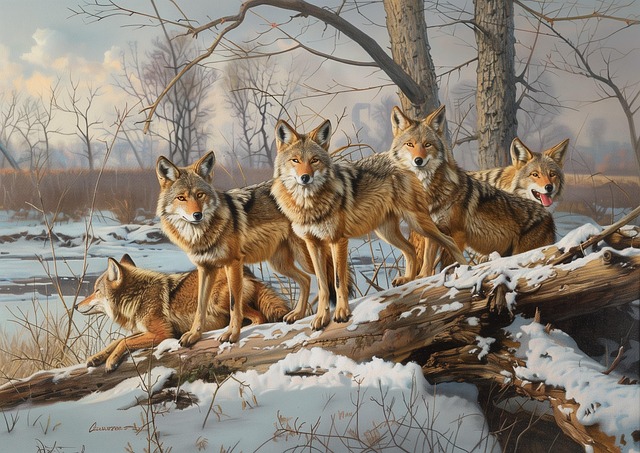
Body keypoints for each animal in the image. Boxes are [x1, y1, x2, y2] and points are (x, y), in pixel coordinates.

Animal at [76, 254, 289, 372]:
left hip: (219, 301)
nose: (76, 306)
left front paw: (111, 362)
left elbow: (124, 342)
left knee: (258, 317)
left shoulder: (161, 334)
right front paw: (97, 358)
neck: (138, 296)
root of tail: (248, 273)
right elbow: (117, 341)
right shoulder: (144, 331)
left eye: (96, 291)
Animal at [156, 152, 327, 345]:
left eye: (200, 195)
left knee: (326, 277)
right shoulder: (205, 268)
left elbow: (234, 305)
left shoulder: (233, 263)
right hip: (280, 264)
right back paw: (297, 314)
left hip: (305, 258)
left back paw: (325, 317)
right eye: (181, 198)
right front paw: (193, 335)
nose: (197, 215)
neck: (202, 235)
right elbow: (201, 307)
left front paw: (232, 334)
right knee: (306, 279)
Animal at [271, 119, 467, 330]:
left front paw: (341, 313)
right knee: (411, 249)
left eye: (314, 160)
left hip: (417, 222)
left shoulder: (337, 240)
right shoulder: (312, 243)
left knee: (447, 241)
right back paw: (408, 279)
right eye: (295, 160)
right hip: (386, 232)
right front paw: (321, 318)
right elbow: (323, 284)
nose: (305, 177)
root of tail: (400, 159)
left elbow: (338, 281)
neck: (308, 204)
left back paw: (467, 270)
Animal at [390, 105, 556, 276]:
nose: (418, 160)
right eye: (410, 144)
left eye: (427, 145)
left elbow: (449, 263)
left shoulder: (457, 234)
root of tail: (548, 215)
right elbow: (428, 262)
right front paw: (422, 278)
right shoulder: (433, 231)